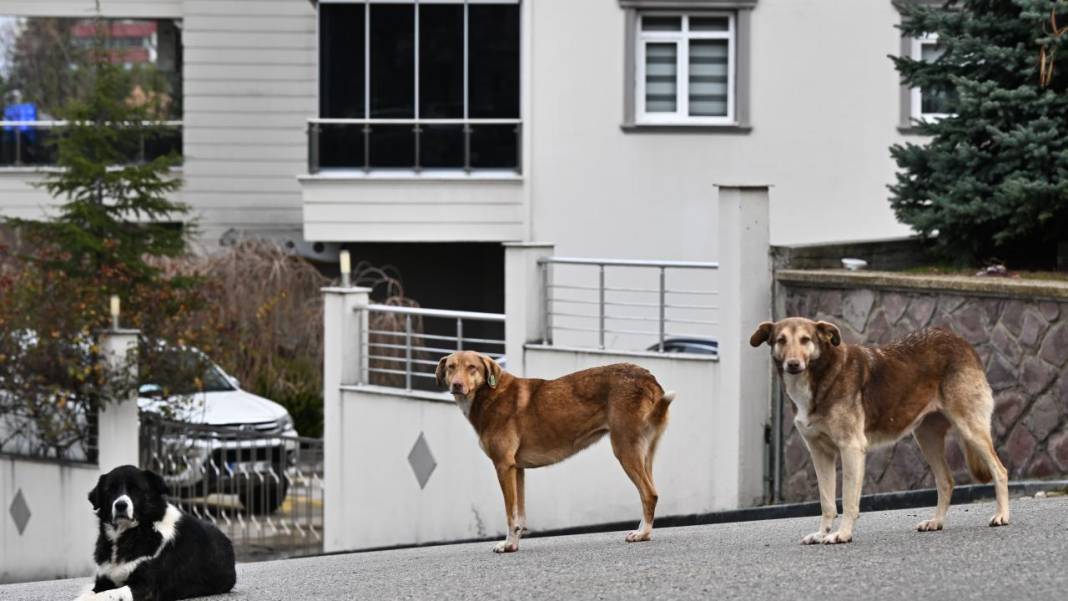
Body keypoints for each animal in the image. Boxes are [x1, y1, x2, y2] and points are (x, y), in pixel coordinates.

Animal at [77, 465, 238, 601]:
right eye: (110, 490)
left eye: (136, 489)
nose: (121, 505)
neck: (135, 532)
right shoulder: (103, 581)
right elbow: (91, 593)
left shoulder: (146, 586)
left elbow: (110, 594)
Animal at [435, 352, 674, 555]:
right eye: (451, 367)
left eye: (472, 367)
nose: (457, 385)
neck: (488, 395)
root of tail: (648, 377)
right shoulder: (517, 469)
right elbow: (519, 515)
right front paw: (513, 545)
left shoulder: (503, 466)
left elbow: (510, 514)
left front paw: (507, 544)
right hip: (644, 454)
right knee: (649, 493)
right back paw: (643, 532)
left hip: (624, 449)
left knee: (649, 493)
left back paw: (642, 534)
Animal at [751, 320, 1008, 546]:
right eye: (781, 340)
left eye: (806, 340)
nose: (793, 364)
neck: (821, 376)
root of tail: (959, 340)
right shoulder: (820, 454)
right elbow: (827, 502)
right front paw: (821, 534)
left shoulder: (851, 449)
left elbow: (848, 500)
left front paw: (842, 534)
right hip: (926, 439)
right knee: (946, 481)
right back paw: (936, 522)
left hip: (970, 429)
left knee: (1000, 471)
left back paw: (1002, 516)